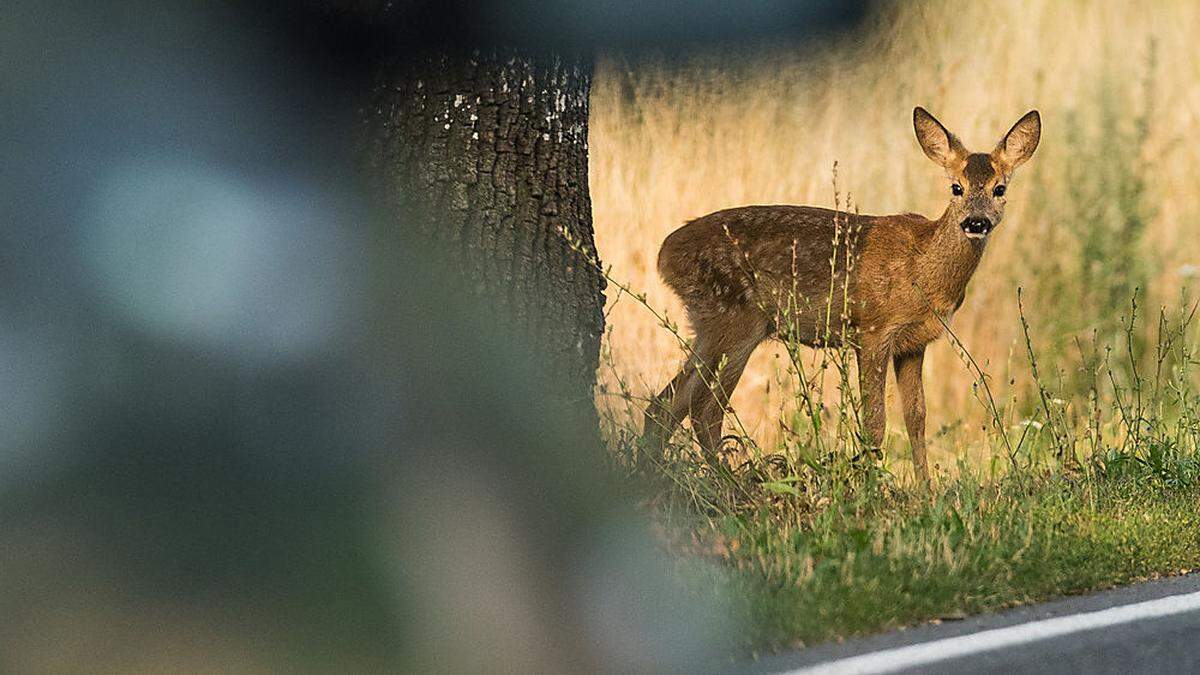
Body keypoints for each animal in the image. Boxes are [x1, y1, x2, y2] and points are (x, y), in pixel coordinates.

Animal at [648, 107, 1041, 480]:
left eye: (1000, 189)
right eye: (956, 187)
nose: (976, 222)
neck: (923, 270)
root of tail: (665, 254)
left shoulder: (913, 343)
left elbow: (917, 418)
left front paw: (925, 491)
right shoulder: (872, 330)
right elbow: (875, 423)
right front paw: (873, 485)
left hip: (710, 325)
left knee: (667, 404)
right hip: (734, 321)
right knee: (704, 409)